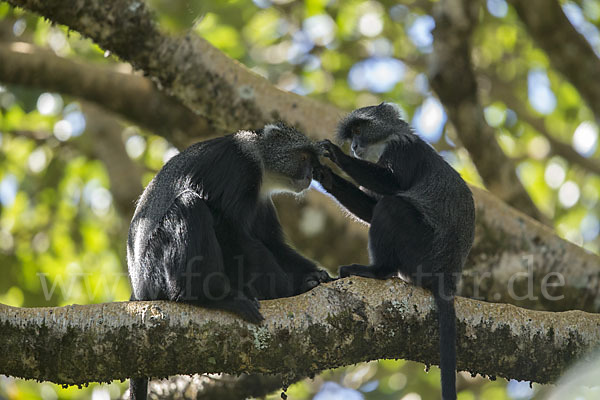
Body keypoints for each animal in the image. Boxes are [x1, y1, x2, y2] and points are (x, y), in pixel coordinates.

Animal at [127, 122, 332, 400]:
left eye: (312, 162)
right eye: (303, 158)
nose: (310, 175)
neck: (259, 157)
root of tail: (139, 290)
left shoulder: (261, 201)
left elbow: (272, 244)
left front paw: (315, 277)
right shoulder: (238, 171)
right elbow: (230, 229)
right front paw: (287, 289)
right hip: (156, 267)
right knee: (189, 204)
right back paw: (209, 296)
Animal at [312, 102, 476, 400]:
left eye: (358, 129)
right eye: (352, 134)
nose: (353, 146)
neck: (387, 140)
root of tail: (447, 274)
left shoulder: (403, 151)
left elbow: (392, 186)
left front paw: (335, 155)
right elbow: (370, 208)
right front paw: (324, 176)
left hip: (421, 251)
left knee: (392, 206)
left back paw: (377, 271)